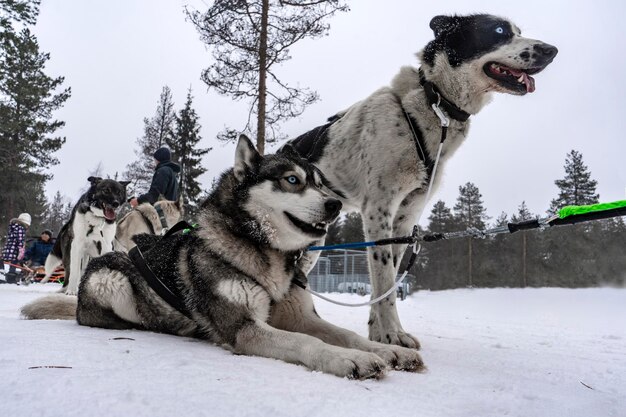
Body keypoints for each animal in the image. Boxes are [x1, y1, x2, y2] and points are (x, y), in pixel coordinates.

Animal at [24, 135, 424, 378]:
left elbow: (345, 333)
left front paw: (384, 350)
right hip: (112, 277)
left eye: (321, 183)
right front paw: (349, 359)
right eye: (292, 180)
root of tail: (78, 301)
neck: (267, 257)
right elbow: (308, 342)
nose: (335, 205)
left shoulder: (300, 317)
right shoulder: (244, 327)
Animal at [284, 14, 556, 348]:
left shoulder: (406, 215)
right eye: (499, 30)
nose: (552, 50)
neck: (433, 103)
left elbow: (386, 281)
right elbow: (384, 278)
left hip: (315, 244)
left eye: (518, 31)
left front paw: (381, 334)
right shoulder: (379, 209)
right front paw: (390, 332)